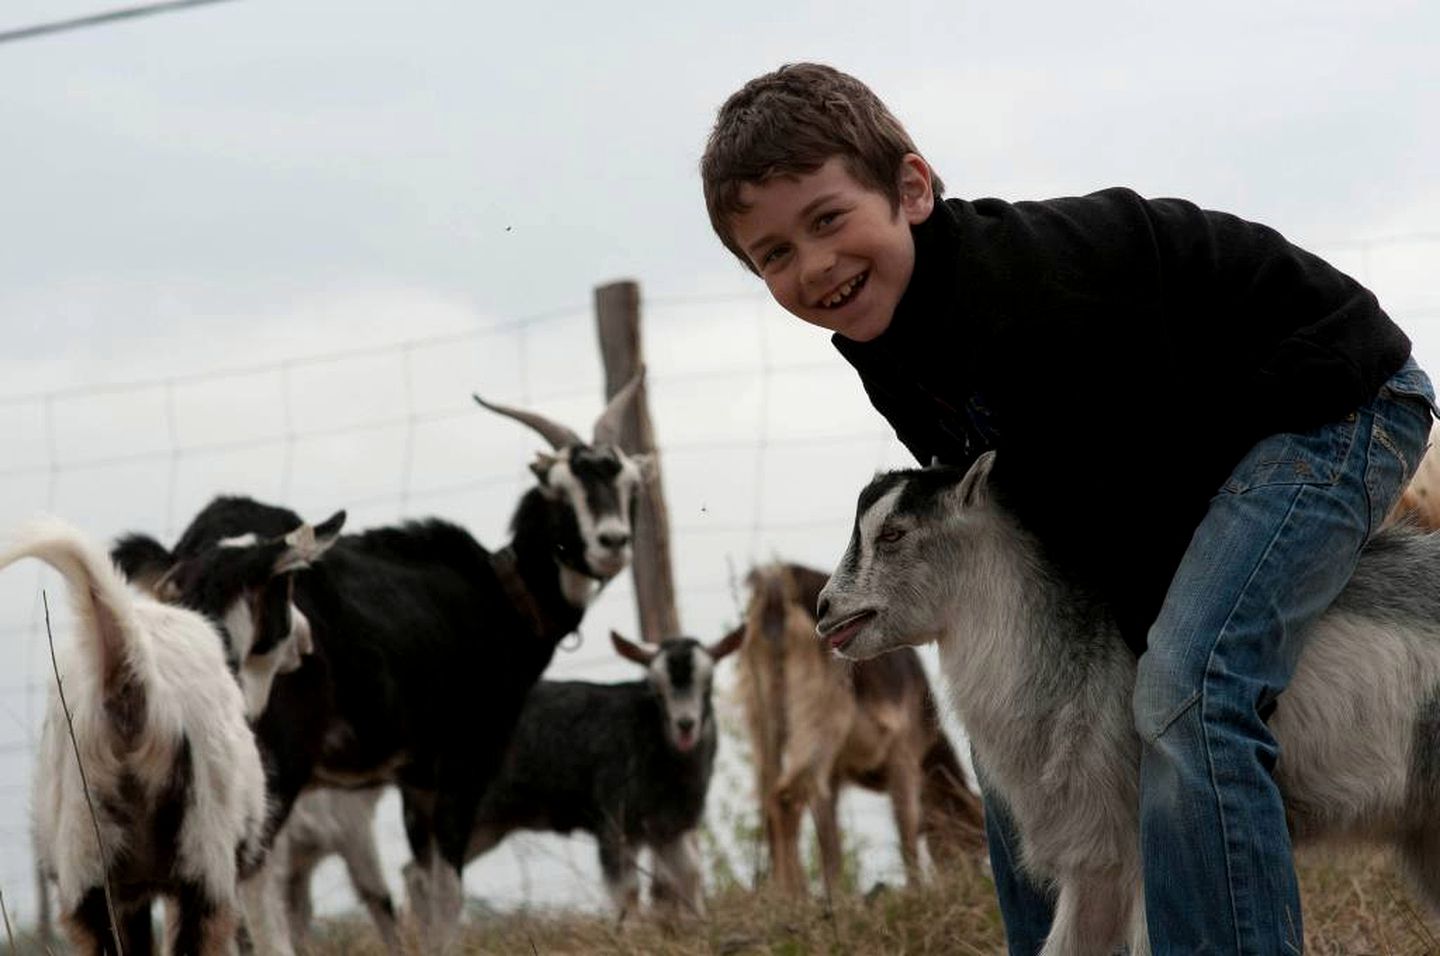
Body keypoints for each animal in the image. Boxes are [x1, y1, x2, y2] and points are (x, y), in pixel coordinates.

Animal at [408, 627, 737, 921]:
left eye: (708, 682)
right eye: (655, 687)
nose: (685, 725)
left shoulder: (667, 826)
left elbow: (691, 875)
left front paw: (700, 924)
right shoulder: (613, 823)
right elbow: (628, 890)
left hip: (487, 825)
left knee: (419, 874)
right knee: (421, 878)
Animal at [737, 564, 984, 892]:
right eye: (968, 841)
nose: (970, 882)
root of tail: (777, 583)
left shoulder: (835, 772)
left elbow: (830, 841)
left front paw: (840, 896)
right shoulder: (903, 750)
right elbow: (905, 828)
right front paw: (915, 891)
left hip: (763, 717)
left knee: (770, 801)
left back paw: (782, 894)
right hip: (821, 715)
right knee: (786, 797)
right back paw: (795, 894)